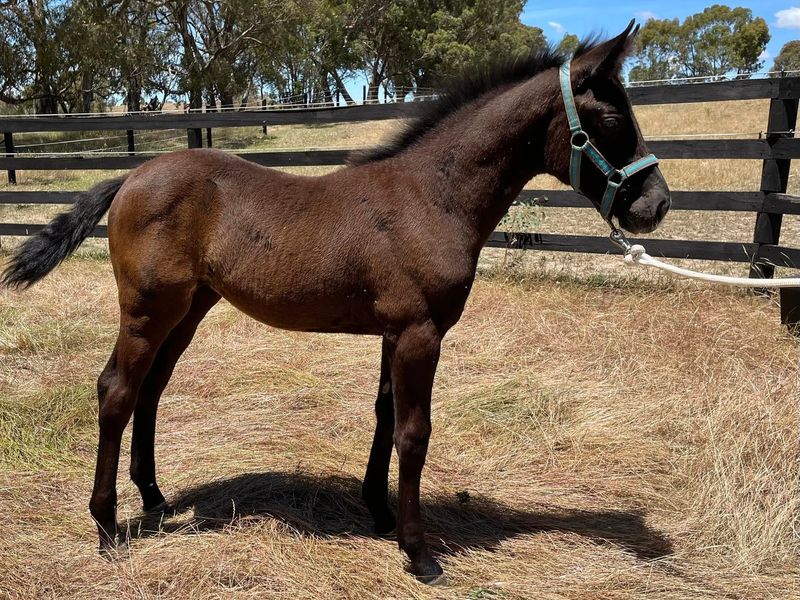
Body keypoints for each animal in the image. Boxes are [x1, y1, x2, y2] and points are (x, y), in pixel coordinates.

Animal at [1, 22, 669, 585]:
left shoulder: (396, 333)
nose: (656, 205)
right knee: (116, 390)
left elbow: (384, 417)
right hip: (147, 310)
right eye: (612, 118)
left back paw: (157, 500)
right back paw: (107, 524)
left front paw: (380, 514)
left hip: (189, 309)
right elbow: (414, 432)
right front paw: (419, 553)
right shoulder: (421, 332)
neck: (431, 196)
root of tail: (132, 177)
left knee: (151, 389)